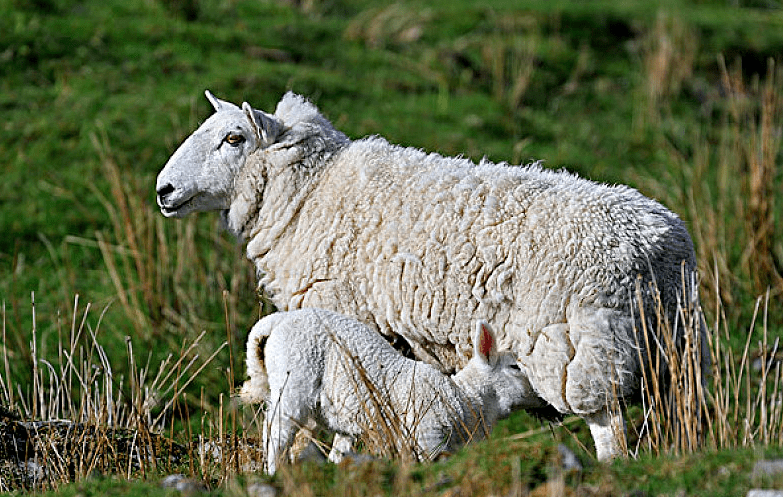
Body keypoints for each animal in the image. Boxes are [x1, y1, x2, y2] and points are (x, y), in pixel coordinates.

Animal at [240, 308, 532, 474]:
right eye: (515, 367)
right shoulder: (427, 438)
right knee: (276, 433)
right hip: (293, 379)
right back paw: (276, 474)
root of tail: (277, 320)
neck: (465, 400)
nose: (539, 394)